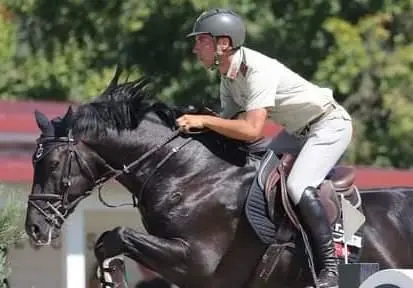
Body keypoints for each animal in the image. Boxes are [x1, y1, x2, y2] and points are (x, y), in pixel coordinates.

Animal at [25, 71, 412, 286]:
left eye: (54, 163)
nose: (34, 228)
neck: (187, 175)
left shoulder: (197, 262)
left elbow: (117, 235)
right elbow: (107, 241)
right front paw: (111, 275)